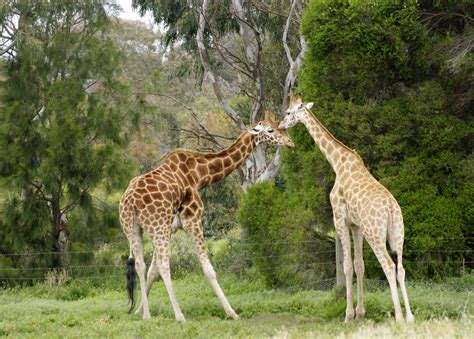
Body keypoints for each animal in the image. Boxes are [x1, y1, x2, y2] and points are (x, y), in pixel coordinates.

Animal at [120, 111, 294, 322]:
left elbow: (151, 270)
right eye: (270, 130)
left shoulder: (171, 228)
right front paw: (232, 313)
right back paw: (179, 315)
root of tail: (130, 201)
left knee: (140, 264)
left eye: (280, 126)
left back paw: (147, 316)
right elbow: (208, 268)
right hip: (156, 226)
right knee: (164, 265)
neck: (200, 175)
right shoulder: (192, 219)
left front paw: (140, 311)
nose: (290, 142)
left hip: (134, 229)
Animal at [280, 94, 412, 322]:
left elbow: (347, 266)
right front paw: (360, 312)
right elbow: (359, 265)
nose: (280, 125)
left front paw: (348, 315)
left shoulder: (339, 218)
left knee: (388, 265)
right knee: (401, 268)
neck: (337, 162)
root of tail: (390, 208)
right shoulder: (355, 225)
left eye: (288, 112)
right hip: (398, 232)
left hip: (374, 233)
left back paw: (399, 317)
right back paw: (410, 317)